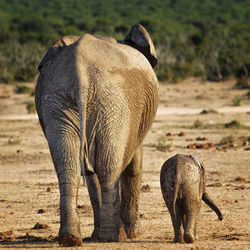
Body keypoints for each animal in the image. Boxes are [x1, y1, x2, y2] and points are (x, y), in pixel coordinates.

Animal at [35, 23, 158, 246]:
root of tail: (80, 72)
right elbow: (134, 165)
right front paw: (133, 234)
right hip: (114, 100)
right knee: (109, 166)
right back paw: (114, 236)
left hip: (59, 101)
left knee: (69, 166)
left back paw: (71, 238)